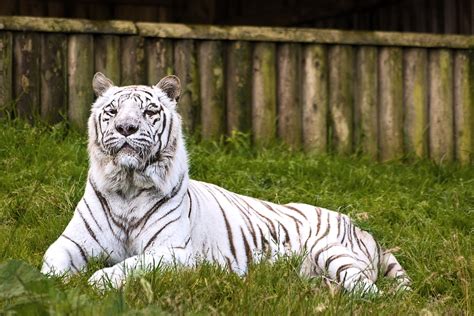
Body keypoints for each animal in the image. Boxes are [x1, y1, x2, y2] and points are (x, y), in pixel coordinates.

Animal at [40, 73, 412, 296]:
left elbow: (132, 264)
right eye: (112, 111)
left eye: (149, 112)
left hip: (332, 252)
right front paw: (51, 285)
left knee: (369, 293)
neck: (128, 188)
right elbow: (49, 263)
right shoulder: (72, 241)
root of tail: (363, 229)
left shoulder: (174, 252)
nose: (126, 128)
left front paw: (98, 281)